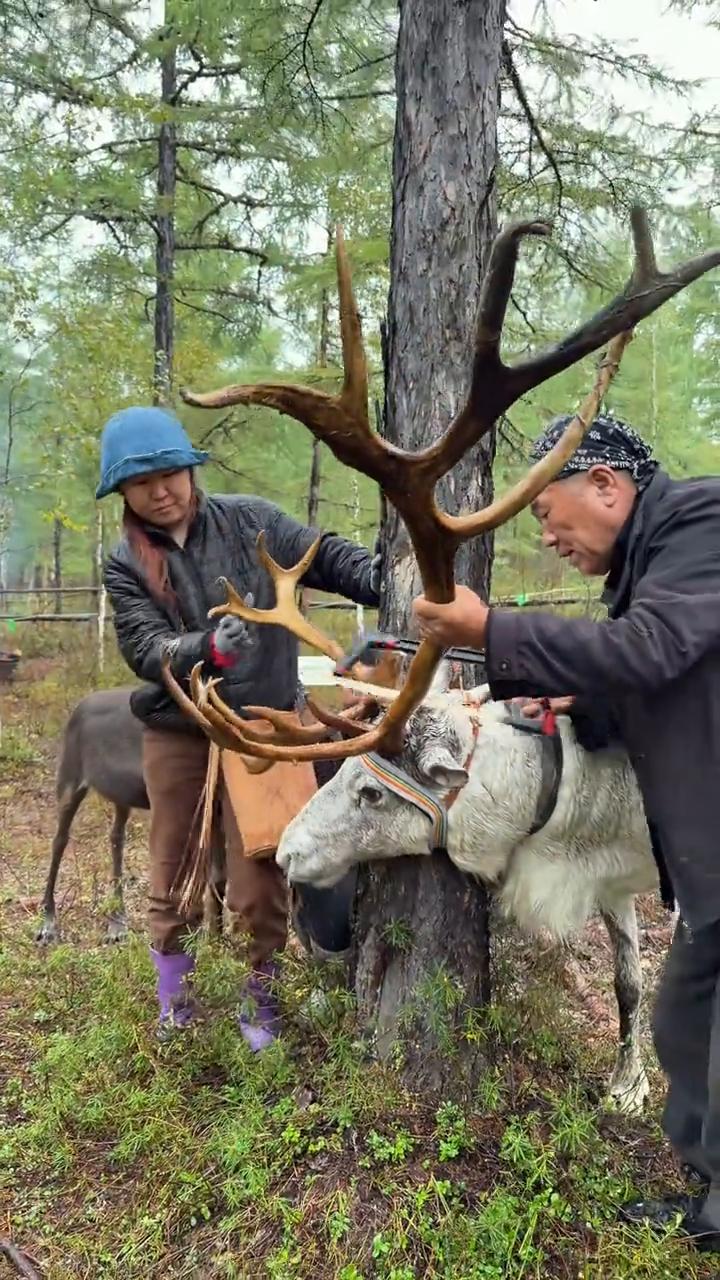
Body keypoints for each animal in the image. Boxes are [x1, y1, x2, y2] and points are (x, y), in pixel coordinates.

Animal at [160, 207, 720, 1111]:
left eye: (369, 793)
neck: (569, 813)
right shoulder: (610, 880)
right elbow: (631, 975)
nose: (287, 855)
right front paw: (627, 1082)